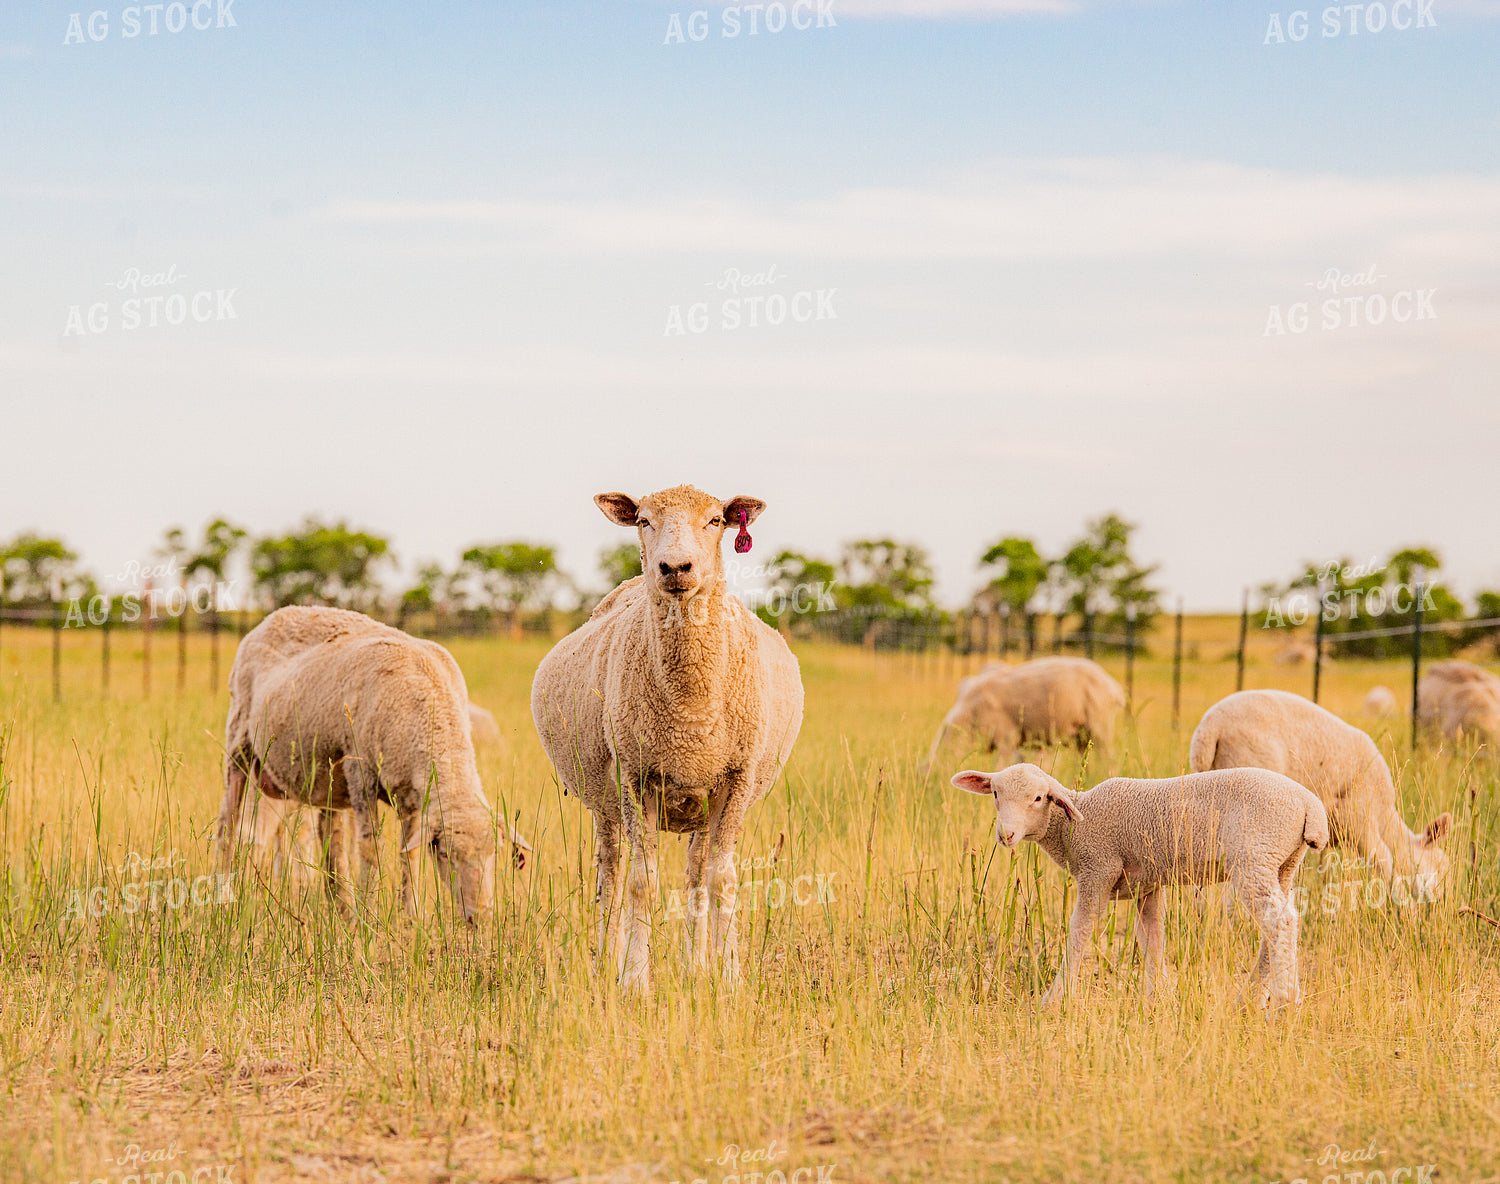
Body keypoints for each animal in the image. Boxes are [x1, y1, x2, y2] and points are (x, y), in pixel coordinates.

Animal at [218, 606, 504, 922]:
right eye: (445, 854)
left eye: (494, 853)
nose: (481, 915)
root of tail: (274, 616)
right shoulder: (361, 775)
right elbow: (370, 849)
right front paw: (369, 915)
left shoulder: (412, 797)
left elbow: (409, 854)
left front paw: (410, 917)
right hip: (239, 745)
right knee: (228, 827)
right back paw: (224, 896)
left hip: (325, 774)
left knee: (329, 838)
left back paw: (341, 908)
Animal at [531, 485, 804, 992]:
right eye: (643, 520)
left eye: (716, 521)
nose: (675, 568)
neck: (691, 709)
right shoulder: (636, 778)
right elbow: (642, 884)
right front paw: (636, 980)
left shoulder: (736, 779)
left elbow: (721, 880)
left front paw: (727, 977)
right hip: (605, 798)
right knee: (611, 876)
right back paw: (607, 962)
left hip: (701, 800)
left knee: (695, 875)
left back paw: (696, 967)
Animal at [925, 656, 1124, 772]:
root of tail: (1115, 688)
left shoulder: (1007, 736)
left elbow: (999, 766)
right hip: (1082, 737)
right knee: (1085, 762)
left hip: (1101, 727)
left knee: (1110, 762)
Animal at [951, 763, 1328, 1008]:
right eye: (995, 793)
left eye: (1039, 798)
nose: (1006, 834)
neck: (1074, 825)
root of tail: (1311, 806)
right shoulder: (1148, 885)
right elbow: (1151, 939)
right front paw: (1157, 998)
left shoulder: (1098, 870)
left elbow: (1079, 932)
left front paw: (1054, 1000)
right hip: (1282, 863)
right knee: (1279, 925)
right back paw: (1248, 999)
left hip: (1254, 856)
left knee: (1279, 920)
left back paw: (1283, 1001)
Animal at [1189, 689, 1452, 894]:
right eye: (1439, 867)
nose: (1439, 904)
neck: (1385, 817)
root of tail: (1209, 730)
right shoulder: (1360, 819)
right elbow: (1385, 863)